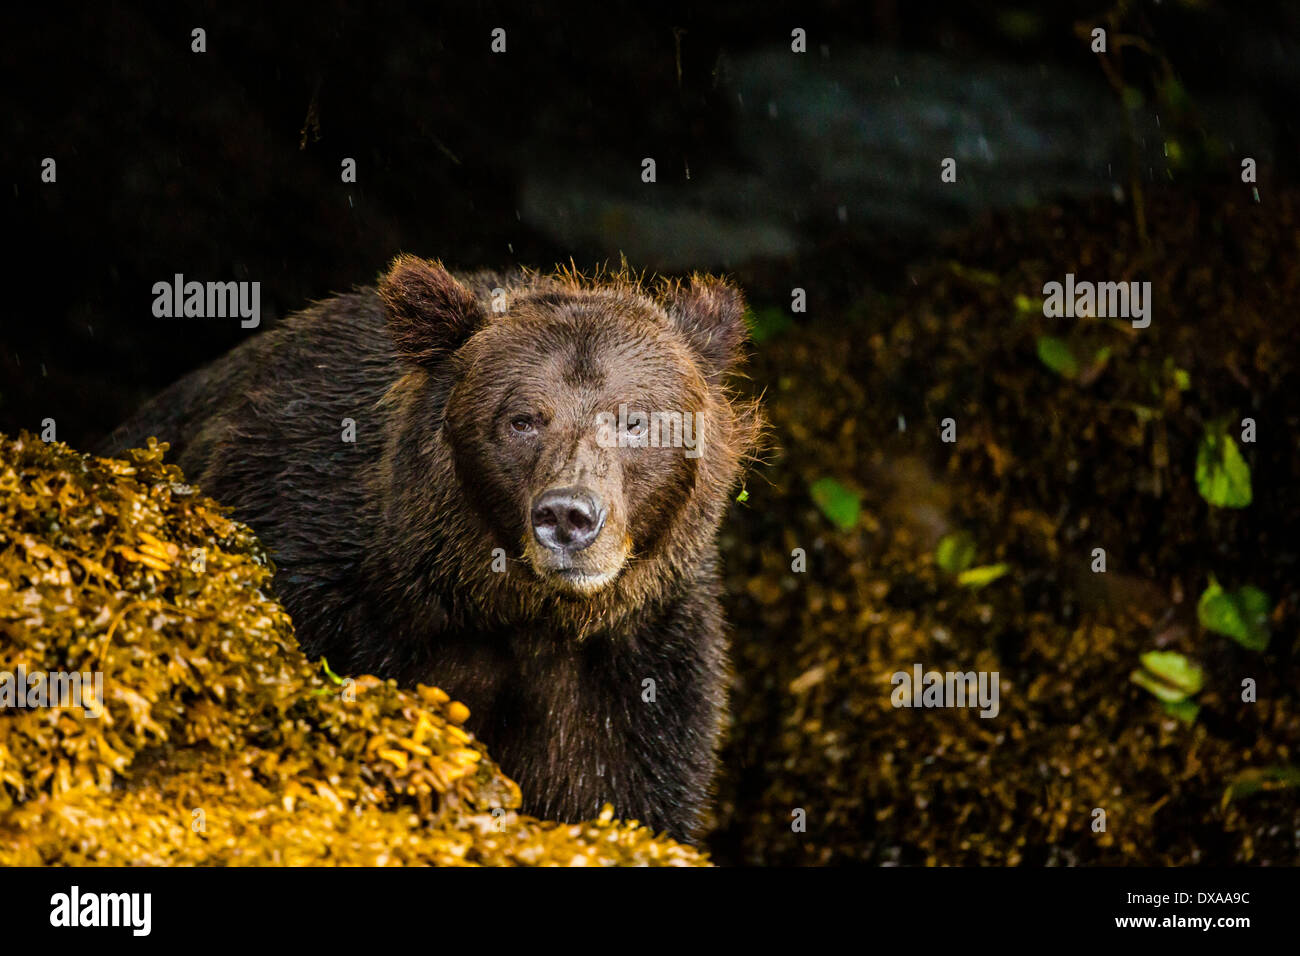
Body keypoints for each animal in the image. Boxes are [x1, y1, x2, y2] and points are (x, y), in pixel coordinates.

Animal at [106, 257, 764, 842]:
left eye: (634, 421)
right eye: (522, 419)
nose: (568, 516)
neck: (508, 609)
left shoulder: (637, 668)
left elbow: (625, 789)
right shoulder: (310, 543)